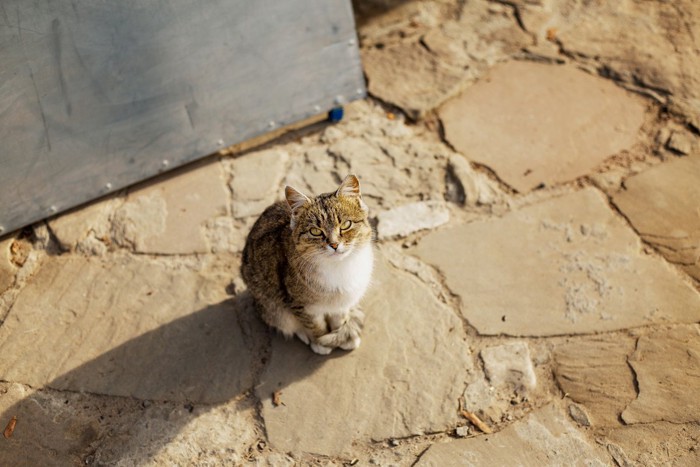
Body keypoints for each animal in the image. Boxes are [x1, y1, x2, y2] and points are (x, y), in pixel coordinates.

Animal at [241, 175, 372, 354]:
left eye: (346, 225)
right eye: (315, 231)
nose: (334, 244)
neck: (339, 267)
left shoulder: (343, 301)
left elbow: (339, 318)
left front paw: (340, 334)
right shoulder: (301, 305)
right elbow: (315, 325)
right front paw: (322, 342)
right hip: (270, 306)